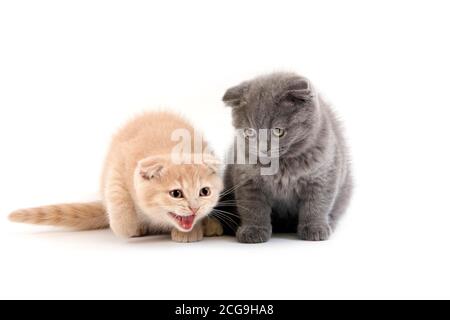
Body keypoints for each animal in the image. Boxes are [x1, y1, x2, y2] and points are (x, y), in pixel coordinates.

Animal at [8, 111, 223, 241]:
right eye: (176, 194)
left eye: (204, 192)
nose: (194, 208)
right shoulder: (119, 164)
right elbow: (118, 198)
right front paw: (128, 227)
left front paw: (193, 229)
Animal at [221, 72, 352, 242]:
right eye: (250, 132)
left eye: (278, 131)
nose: (263, 149)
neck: (281, 165)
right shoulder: (248, 178)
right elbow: (252, 206)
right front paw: (254, 230)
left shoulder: (323, 175)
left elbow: (317, 203)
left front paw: (314, 228)